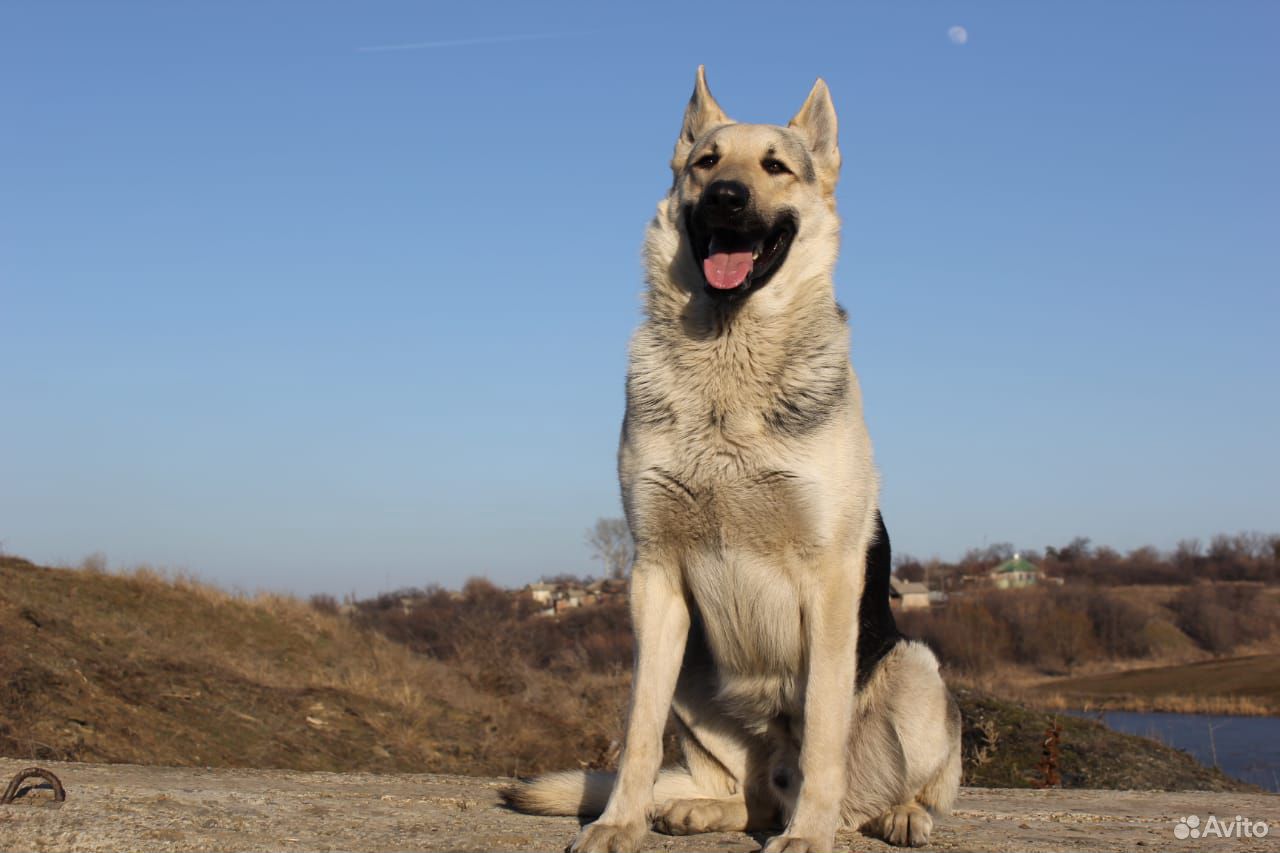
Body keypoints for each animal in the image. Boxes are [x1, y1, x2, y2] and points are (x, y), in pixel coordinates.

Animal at [504, 68, 957, 850]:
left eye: (775, 166)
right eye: (706, 162)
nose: (726, 196)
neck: (727, 356)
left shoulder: (830, 581)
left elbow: (824, 730)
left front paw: (809, 837)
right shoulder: (654, 578)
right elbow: (639, 729)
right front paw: (618, 821)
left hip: (917, 669)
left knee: (887, 788)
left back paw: (892, 813)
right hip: (694, 669)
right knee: (754, 793)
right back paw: (695, 809)